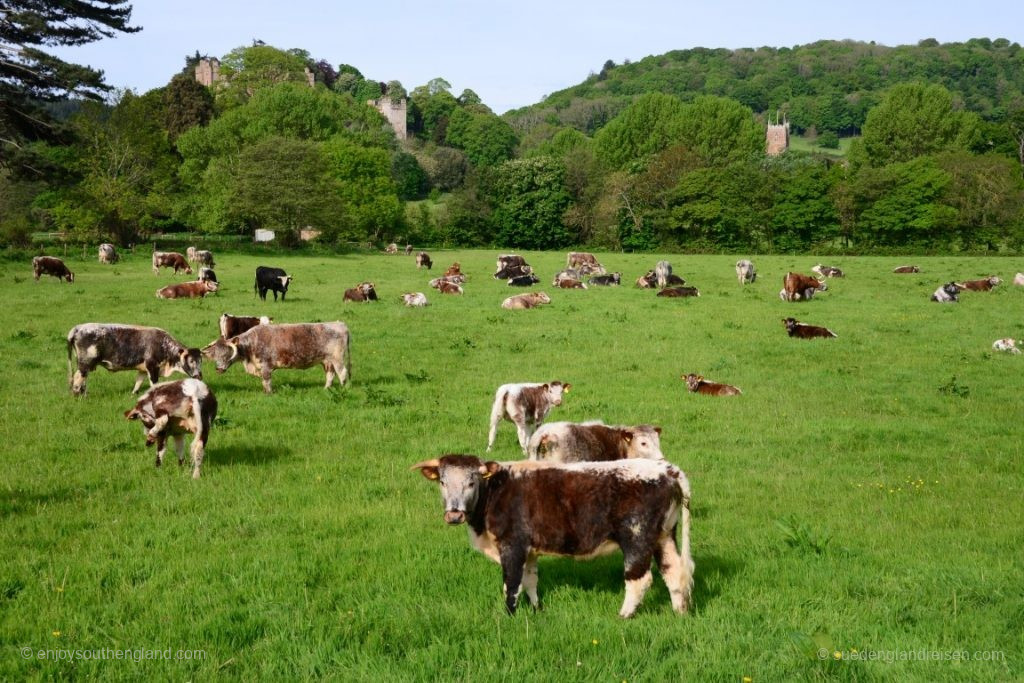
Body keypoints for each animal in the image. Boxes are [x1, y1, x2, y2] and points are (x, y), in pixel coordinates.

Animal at [67, 325, 202, 397]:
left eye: (201, 361)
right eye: (191, 360)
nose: (199, 375)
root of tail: (77, 328)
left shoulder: (143, 369)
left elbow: (138, 382)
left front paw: (133, 394)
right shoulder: (152, 367)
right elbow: (154, 385)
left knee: (83, 379)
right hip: (85, 363)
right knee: (78, 378)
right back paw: (78, 396)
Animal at [199, 321, 352, 393]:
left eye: (227, 353)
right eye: (215, 355)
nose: (218, 369)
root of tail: (340, 324)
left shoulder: (266, 366)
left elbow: (266, 381)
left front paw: (269, 393)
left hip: (337, 358)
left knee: (342, 373)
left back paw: (344, 389)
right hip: (327, 361)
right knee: (330, 374)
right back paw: (326, 389)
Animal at [411, 454, 692, 618]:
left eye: (471, 482)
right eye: (443, 482)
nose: (454, 514)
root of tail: (667, 469)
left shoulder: (512, 545)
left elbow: (511, 585)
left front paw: (509, 616)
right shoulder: (529, 550)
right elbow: (530, 581)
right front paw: (537, 609)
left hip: (637, 537)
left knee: (639, 580)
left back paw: (623, 616)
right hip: (664, 536)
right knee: (674, 572)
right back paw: (680, 613)